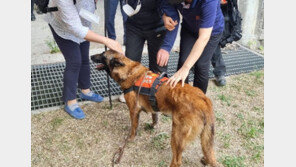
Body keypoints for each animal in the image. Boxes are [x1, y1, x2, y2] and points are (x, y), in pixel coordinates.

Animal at [91, 50, 219, 167]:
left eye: (102, 55)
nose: (91, 56)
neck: (129, 72)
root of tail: (204, 100)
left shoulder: (133, 110)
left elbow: (133, 127)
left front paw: (130, 138)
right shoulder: (153, 106)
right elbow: (154, 117)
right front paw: (153, 125)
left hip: (176, 136)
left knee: (177, 161)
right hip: (204, 138)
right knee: (209, 153)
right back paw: (206, 160)